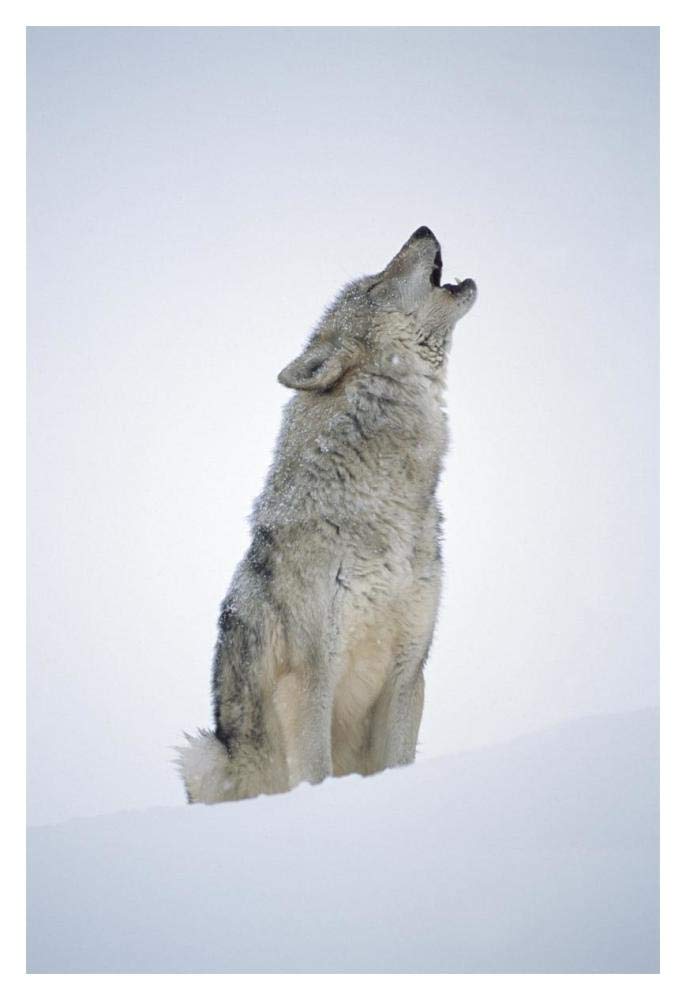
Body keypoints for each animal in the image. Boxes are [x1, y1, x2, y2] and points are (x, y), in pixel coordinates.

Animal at [178, 226, 477, 803]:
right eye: (376, 283)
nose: (423, 229)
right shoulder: (309, 678)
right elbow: (314, 770)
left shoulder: (409, 672)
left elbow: (398, 761)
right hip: (202, 755)